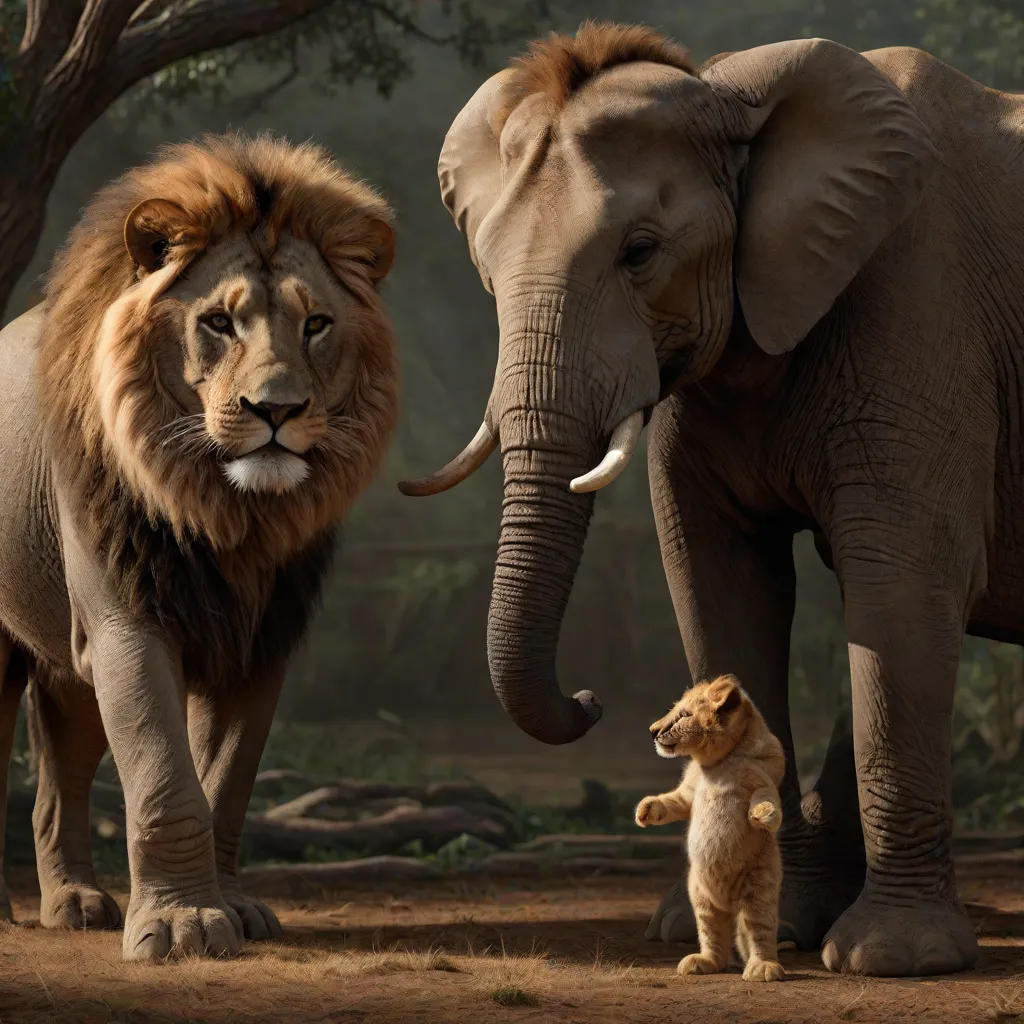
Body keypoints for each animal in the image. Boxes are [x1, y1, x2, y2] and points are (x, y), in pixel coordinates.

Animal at [398, 21, 1023, 976]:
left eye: (640, 252)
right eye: (487, 273)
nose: (589, 701)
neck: (728, 97)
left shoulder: (924, 309)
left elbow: (906, 587)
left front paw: (891, 957)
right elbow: (719, 580)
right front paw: (769, 923)